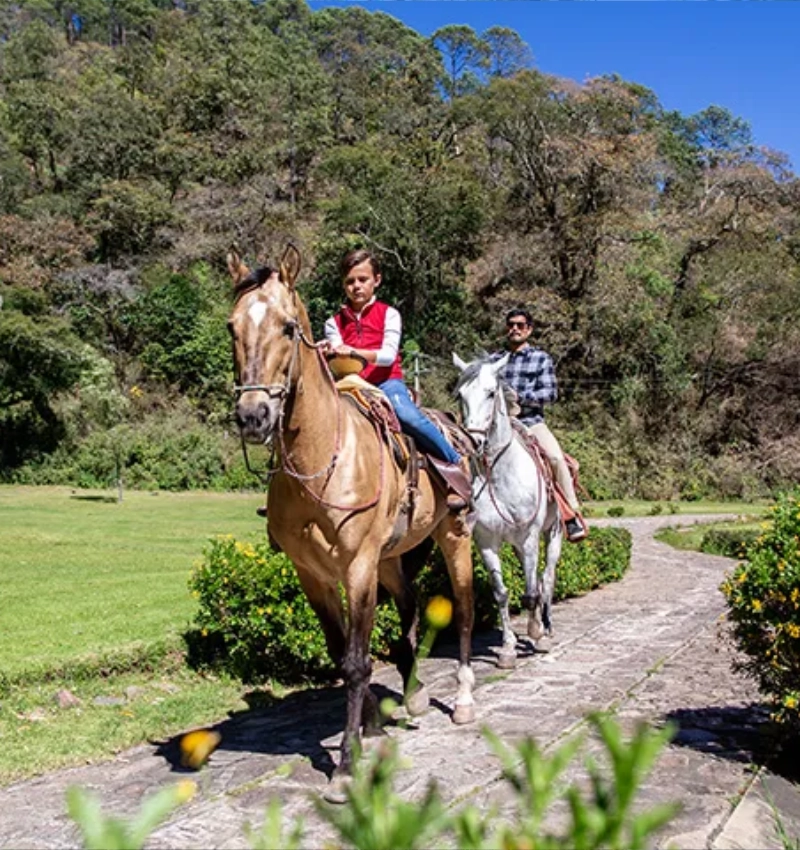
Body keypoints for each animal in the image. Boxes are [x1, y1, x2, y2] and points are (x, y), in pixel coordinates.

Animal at [227, 245, 475, 797]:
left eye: (287, 327)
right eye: (232, 326)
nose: (253, 415)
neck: (322, 462)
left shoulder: (357, 566)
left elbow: (359, 661)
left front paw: (345, 764)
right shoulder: (312, 575)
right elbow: (341, 653)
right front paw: (370, 728)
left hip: (454, 537)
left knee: (467, 611)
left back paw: (465, 700)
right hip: (391, 559)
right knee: (410, 607)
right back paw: (414, 695)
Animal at [452, 352, 563, 668]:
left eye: (491, 393)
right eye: (460, 395)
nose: (474, 442)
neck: (499, 475)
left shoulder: (530, 537)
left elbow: (531, 592)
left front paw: (536, 633)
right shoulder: (487, 541)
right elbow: (502, 594)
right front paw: (508, 648)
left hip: (553, 533)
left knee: (546, 578)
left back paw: (546, 628)